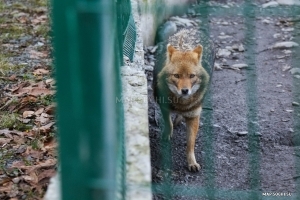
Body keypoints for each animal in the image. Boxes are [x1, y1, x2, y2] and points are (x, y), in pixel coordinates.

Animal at [152, 28, 213, 172]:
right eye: (176, 76)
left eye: (191, 76)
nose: (185, 91)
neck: (180, 103)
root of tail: (191, 29)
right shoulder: (164, 106)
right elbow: (168, 122)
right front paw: (168, 133)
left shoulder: (194, 116)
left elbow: (190, 144)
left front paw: (192, 163)